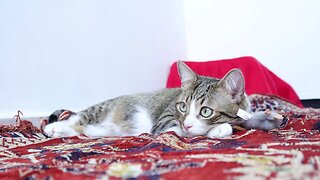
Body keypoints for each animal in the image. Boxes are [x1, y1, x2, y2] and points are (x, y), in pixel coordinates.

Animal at [43, 61, 284, 139]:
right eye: (183, 106)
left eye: (205, 111)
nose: (187, 123)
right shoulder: (165, 122)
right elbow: (180, 131)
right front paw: (220, 129)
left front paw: (268, 118)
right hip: (103, 108)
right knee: (78, 118)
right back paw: (55, 128)